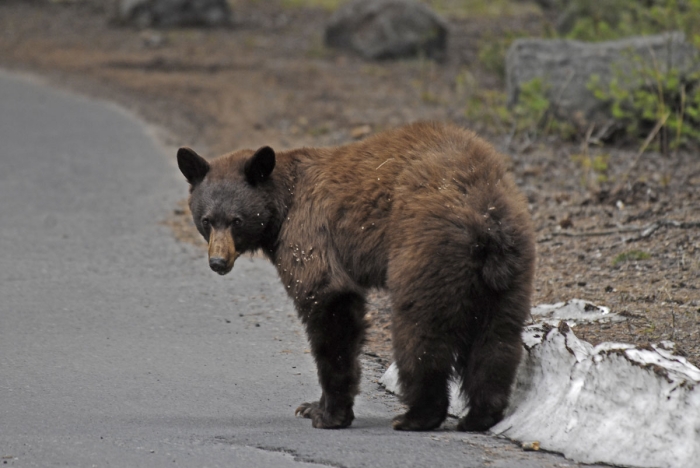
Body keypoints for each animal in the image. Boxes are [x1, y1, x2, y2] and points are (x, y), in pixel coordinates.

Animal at [176, 120, 536, 432]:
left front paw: (327, 412)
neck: (283, 206)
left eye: (236, 220)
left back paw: (417, 416)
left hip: (425, 250)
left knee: (420, 332)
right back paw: (479, 416)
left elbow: (329, 305)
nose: (218, 261)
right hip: (512, 268)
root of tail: (485, 217)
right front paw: (314, 407)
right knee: (497, 340)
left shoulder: (310, 234)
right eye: (207, 220)